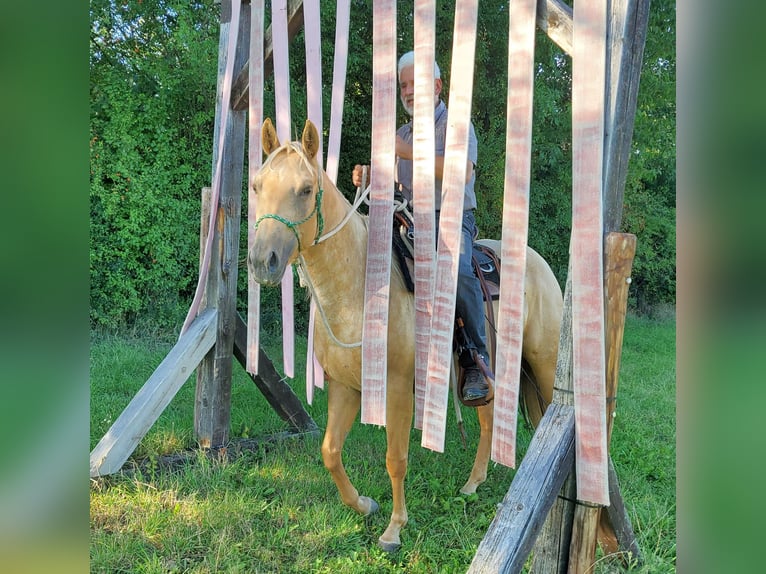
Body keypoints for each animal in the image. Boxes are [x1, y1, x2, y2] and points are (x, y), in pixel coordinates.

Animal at [250, 118, 564, 552]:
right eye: (256, 185)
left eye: (306, 189)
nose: (262, 262)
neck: (361, 288)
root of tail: (538, 263)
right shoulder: (345, 387)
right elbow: (330, 451)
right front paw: (364, 505)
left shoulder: (398, 389)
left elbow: (395, 459)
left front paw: (395, 528)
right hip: (483, 371)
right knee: (487, 422)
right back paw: (473, 484)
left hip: (545, 363)